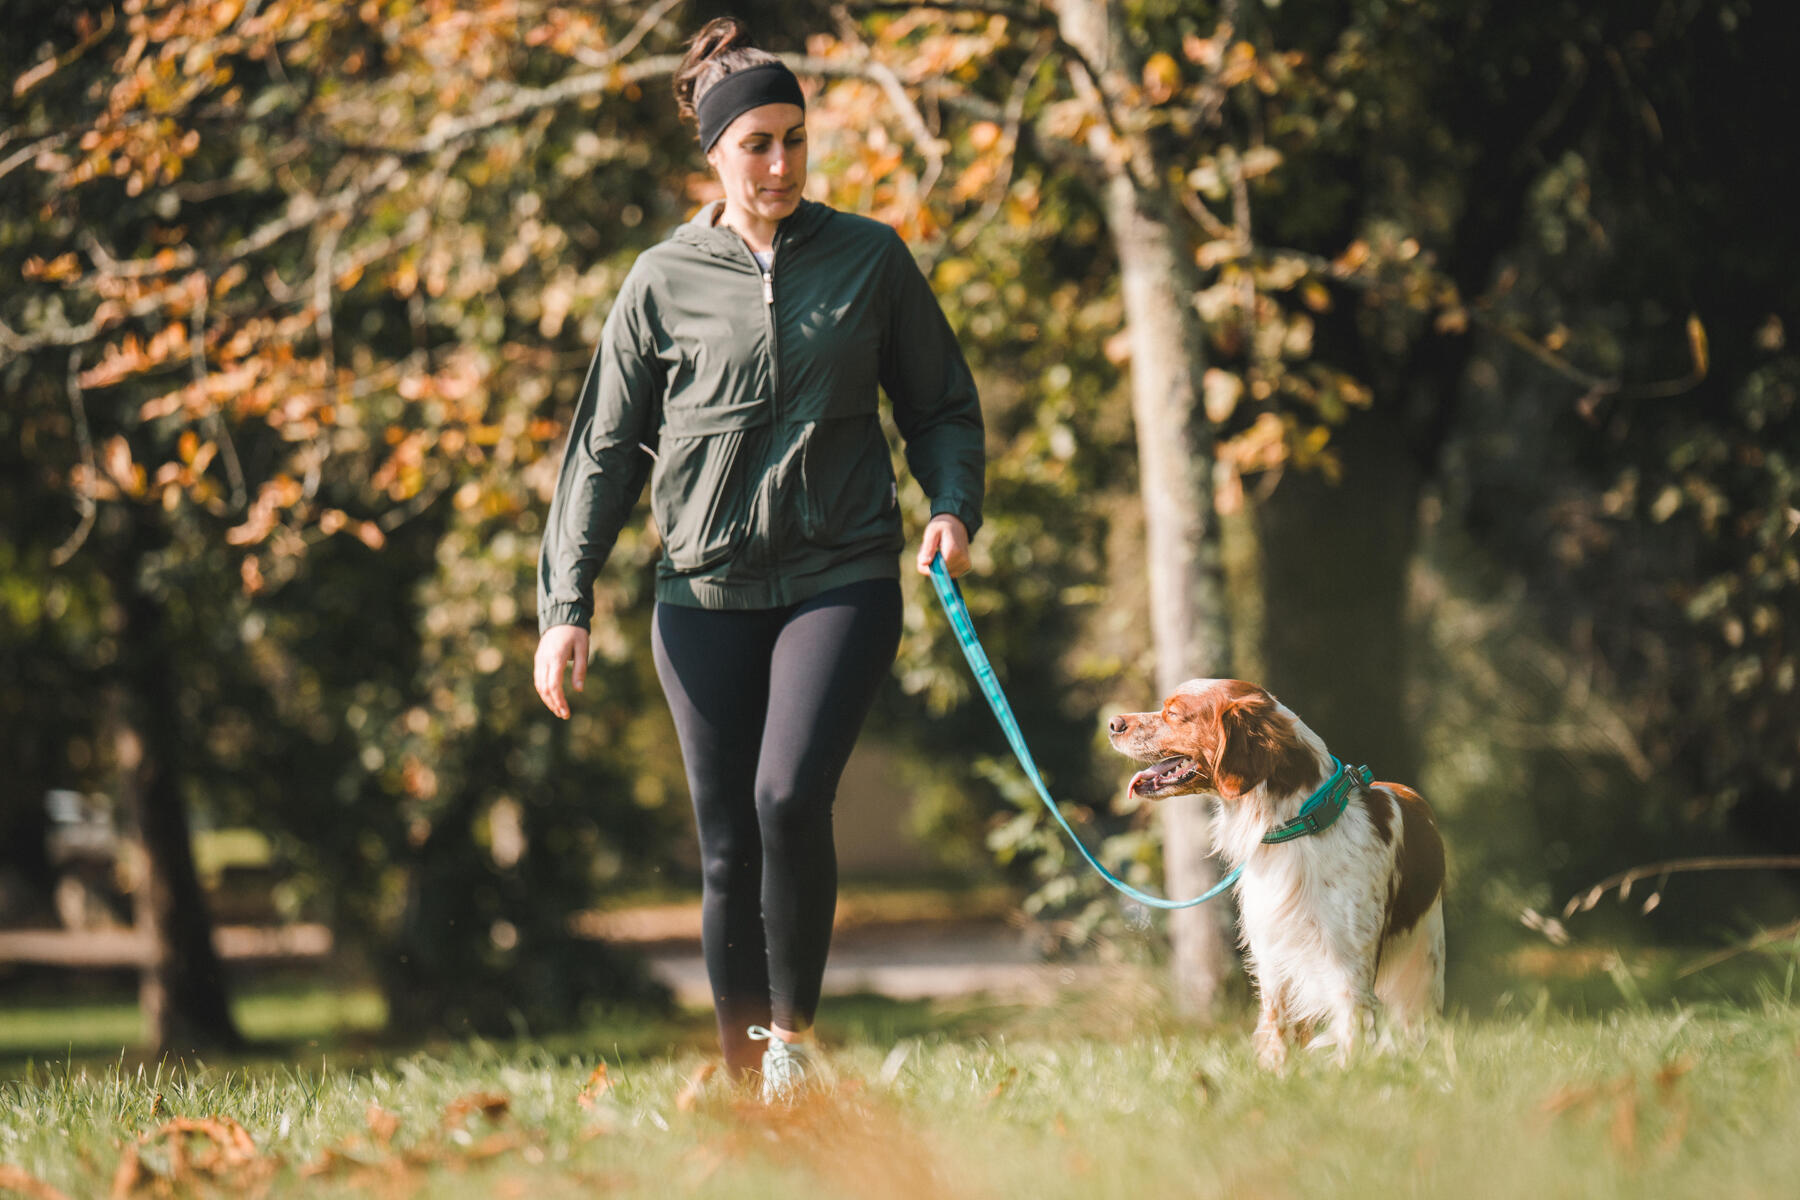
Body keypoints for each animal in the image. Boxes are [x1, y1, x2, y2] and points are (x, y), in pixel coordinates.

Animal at [1108, 680, 1447, 1065]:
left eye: (1175, 713)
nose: (1113, 723)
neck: (1298, 828)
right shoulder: (1273, 961)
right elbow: (1277, 1035)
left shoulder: (1351, 971)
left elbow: (1352, 1039)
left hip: (1426, 968)